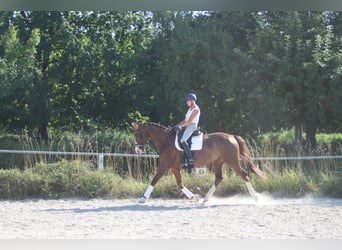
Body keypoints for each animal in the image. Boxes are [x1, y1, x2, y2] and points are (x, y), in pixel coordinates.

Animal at [132, 121, 266, 203]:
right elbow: (180, 183)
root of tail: (232, 136)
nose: (138, 150)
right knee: (219, 178)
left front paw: (143, 198)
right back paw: (205, 198)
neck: (166, 141)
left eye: (138, 133)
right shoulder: (175, 167)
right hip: (218, 162)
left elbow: (154, 179)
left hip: (232, 161)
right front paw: (194, 197)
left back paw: (256, 197)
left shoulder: (165, 165)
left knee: (243, 174)